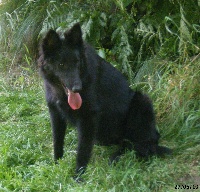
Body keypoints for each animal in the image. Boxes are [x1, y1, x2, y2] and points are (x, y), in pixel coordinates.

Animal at [38, 22, 171, 178]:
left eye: (77, 62)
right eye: (61, 65)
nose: (78, 88)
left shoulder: (88, 117)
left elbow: (82, 150)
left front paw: (78, 176)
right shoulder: (55, 113)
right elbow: (57, 142)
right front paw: (56, 164)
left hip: (142, 101)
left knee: (143, 145)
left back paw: (118, 156)